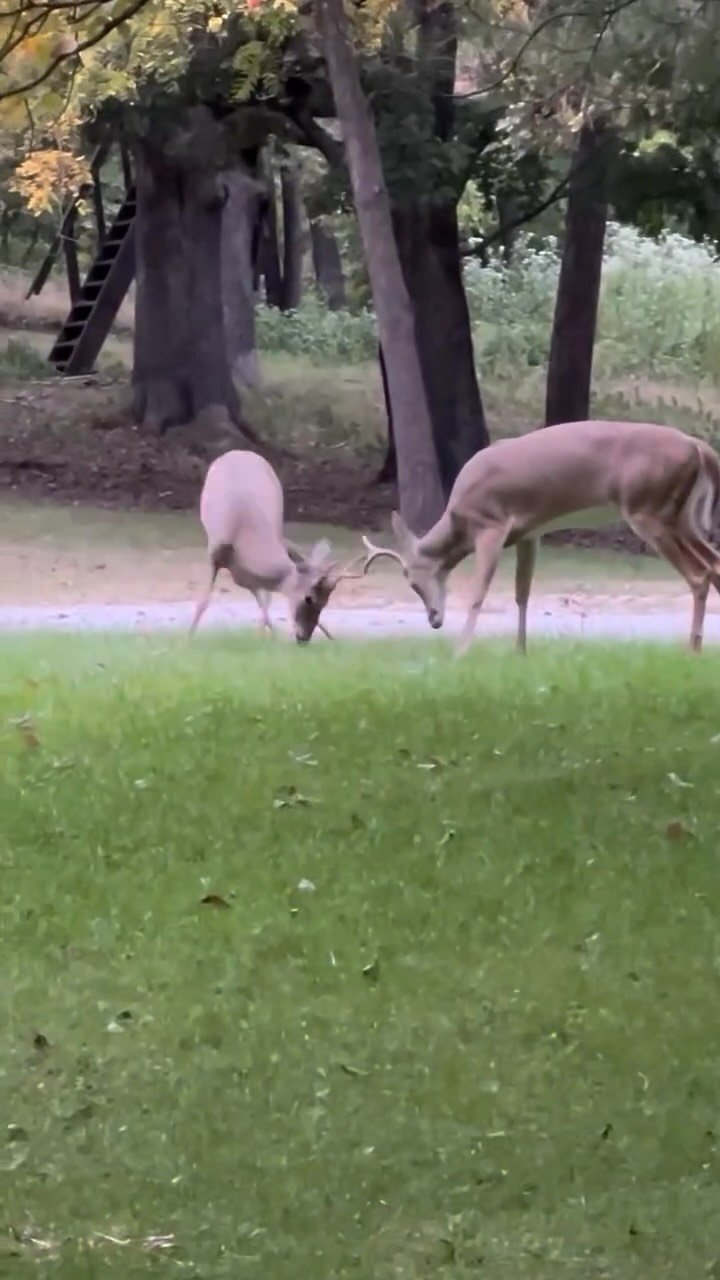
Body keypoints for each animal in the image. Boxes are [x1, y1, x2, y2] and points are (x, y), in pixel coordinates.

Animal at [191, 450, 363, 643]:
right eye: (309, 598)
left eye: (326, 602)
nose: (304, 637)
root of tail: (241, 451)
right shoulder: (215, 554)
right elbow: (203, 602)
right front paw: (186, 641)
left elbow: (263, 604)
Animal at [361, 420, 720, 655]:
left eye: (412, 581)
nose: (434, 620)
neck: (458, 518)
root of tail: (700, 448)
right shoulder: (529, 533)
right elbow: (523, 593)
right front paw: (520, 650)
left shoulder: (492, 526)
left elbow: (479, 592)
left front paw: (460, 651)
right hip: (682, 517)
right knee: (714, 563)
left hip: (649, 510)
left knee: (699, 574)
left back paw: (693, 648)